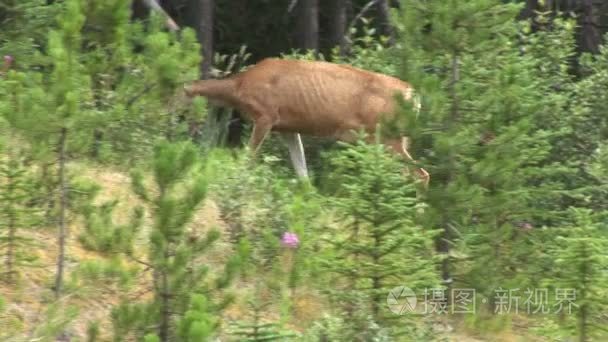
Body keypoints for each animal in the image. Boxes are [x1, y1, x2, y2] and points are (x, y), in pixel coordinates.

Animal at [183, 58, 430, 187]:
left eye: (180, 97)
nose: (189, 126)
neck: (239, 87)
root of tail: (414, 95)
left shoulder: (266, 115)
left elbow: (248, 158)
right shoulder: (288, 128)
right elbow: (303, 174)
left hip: (386, 136)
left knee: (420, 174)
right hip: (395, 138)